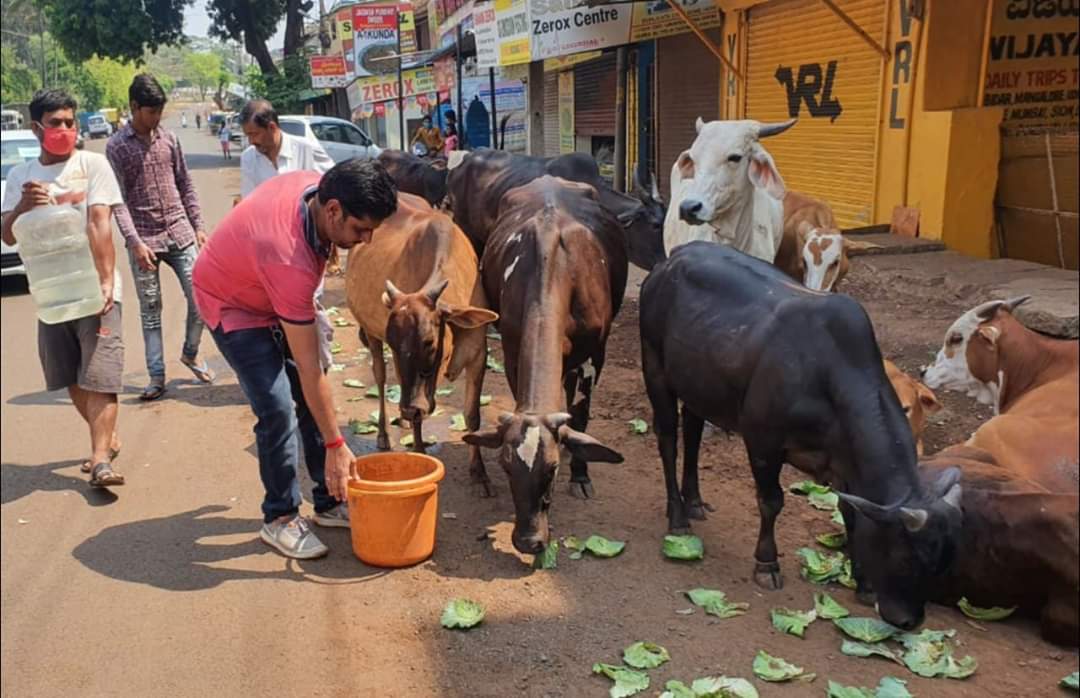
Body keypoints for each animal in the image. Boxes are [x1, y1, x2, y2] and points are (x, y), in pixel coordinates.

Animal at [345, 194, 496, 490]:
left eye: (429, 342)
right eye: (394, 343)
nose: (409, 407)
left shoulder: (478, 355)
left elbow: (472, 415)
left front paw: (479, 472)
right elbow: (417, 419)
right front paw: (419, 451)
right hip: (370, 334)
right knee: (380, 376)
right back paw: (383, 434)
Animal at [462, 176, 626, 557]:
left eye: (551, 470)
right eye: (507, 468)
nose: (528, 541)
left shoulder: (596, 354)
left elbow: (580, 415)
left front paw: (580, 474)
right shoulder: (511, 350)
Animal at [639, 243, 963, 631]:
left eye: (942, 563)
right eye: (904, 558)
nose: (909, 621)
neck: (829, 376)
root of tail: (672, 259)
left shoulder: (843, 466)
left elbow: (850, 512)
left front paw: (864, 582)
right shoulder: (763, 441)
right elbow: (771, 501)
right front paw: (767, 564)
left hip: (701, 385)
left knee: (692, 431)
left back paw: (695, 501)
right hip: (655, 369)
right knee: (669, 440)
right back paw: (678, 515)